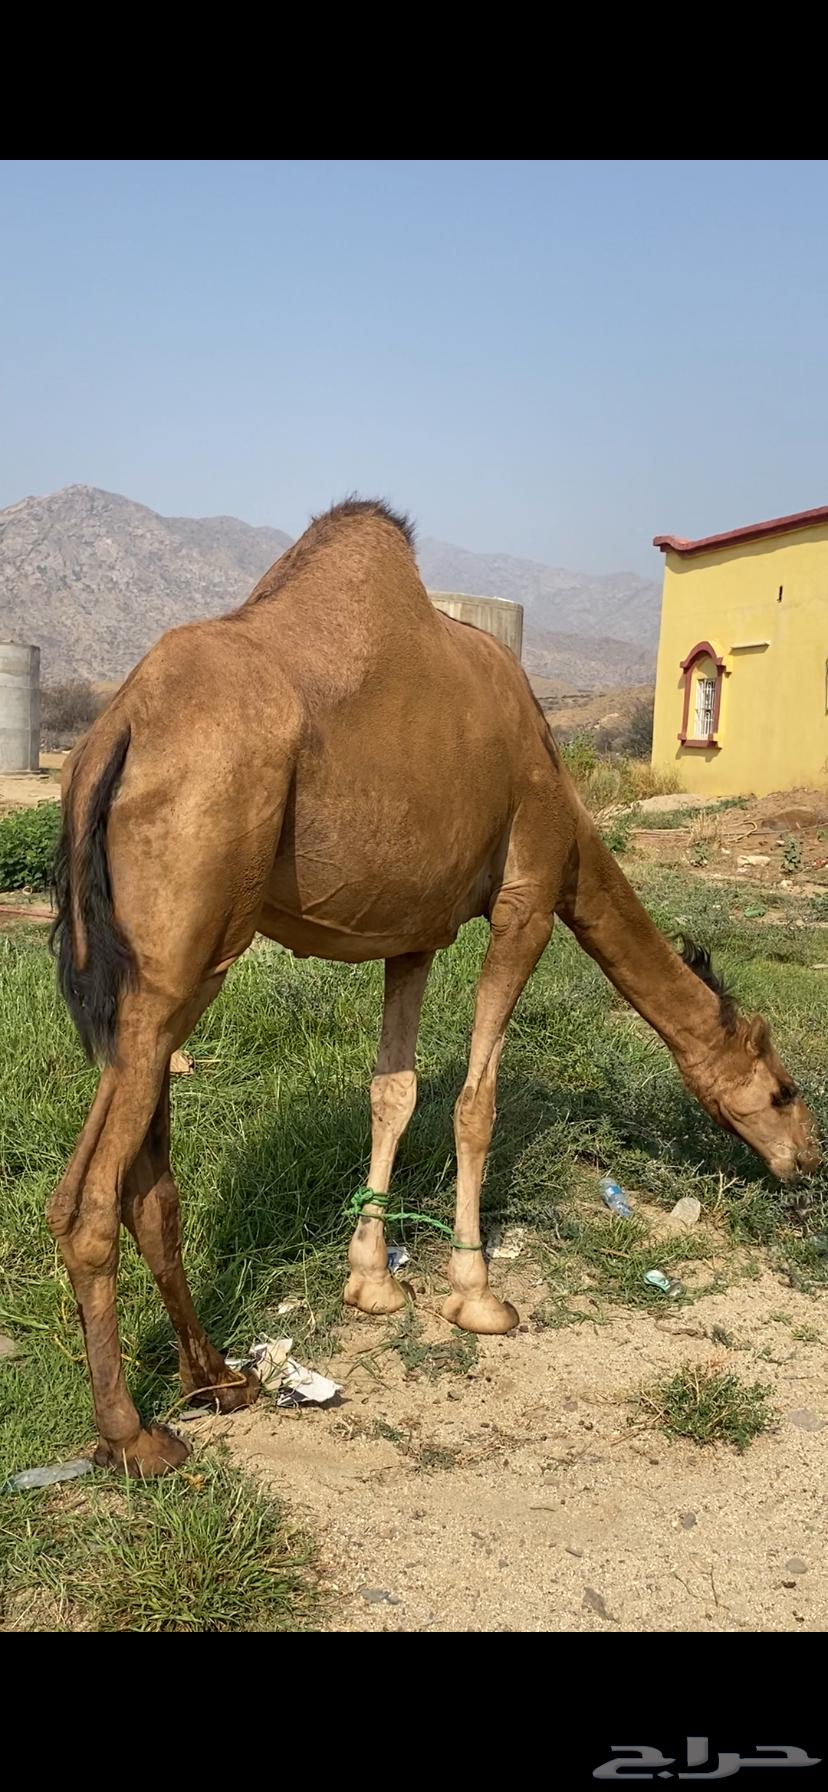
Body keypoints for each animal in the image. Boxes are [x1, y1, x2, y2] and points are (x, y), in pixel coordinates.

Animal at [50, 498, 820, 1477]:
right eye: (783, 1089)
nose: (808, 1159)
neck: (567, 799)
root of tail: (113, 733)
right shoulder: (530, 892)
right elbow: (474, 1099)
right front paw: (478, 1295)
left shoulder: (411, 932)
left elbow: (395, 1090)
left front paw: (371, 1282)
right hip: (180, 958)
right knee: (89, 1201)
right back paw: (133, 1436)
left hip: (153, 975)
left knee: (145, 1186)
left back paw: (217, 1380)